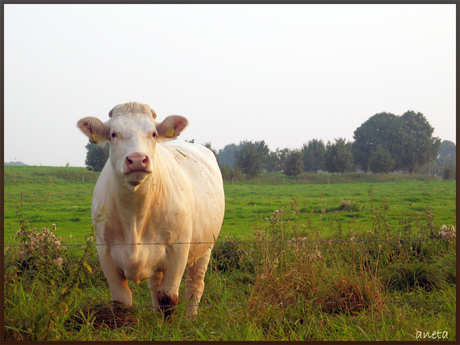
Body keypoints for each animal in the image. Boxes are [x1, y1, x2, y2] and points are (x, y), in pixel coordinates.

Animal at [78, 101, 226, 314]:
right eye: (113, 134)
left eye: (154, 133)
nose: (137, 159)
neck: (134, 216)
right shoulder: (105, 252)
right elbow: (123, 302)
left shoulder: (178, 251)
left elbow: (168, 299)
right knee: (155, 284)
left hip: (205, 247)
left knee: (195, 286)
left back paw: (191, 317)